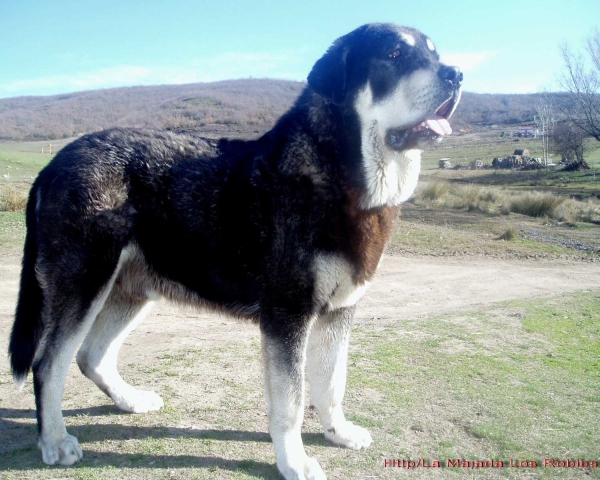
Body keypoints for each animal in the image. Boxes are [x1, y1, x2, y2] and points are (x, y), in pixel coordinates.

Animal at [8, 23, 460, 480]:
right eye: (395, 54)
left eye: (435, 54)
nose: (457, 74)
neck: (340, 170)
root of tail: (54, 163)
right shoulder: (287, 316)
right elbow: (291, 403)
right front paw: (293, 461)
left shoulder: (339, 311)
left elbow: (333, 382)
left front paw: (339, 432)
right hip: (85, 284)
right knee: (48, 364)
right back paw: (54, 441)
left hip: (131, 289)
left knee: (91, 356)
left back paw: (129, 400)